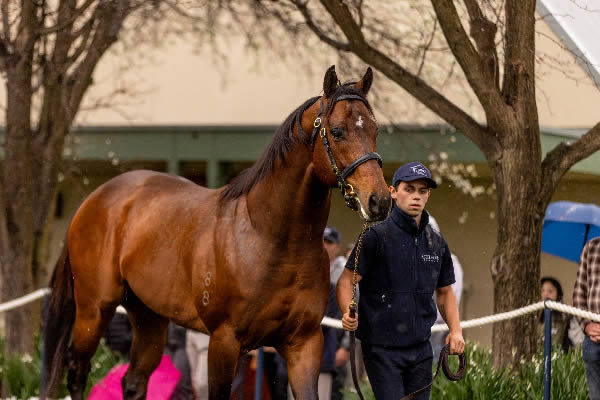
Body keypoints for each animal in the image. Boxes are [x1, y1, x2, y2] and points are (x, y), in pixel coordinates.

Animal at [39, 66, 392, 400]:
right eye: (338, 131)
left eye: (375, 131)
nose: (380, 200)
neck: (271, 239)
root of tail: (94, 200)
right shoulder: (224, 341)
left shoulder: (304, 344)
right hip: (94, 310)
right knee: (77, 372)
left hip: (149, 317)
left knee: (134, 382)